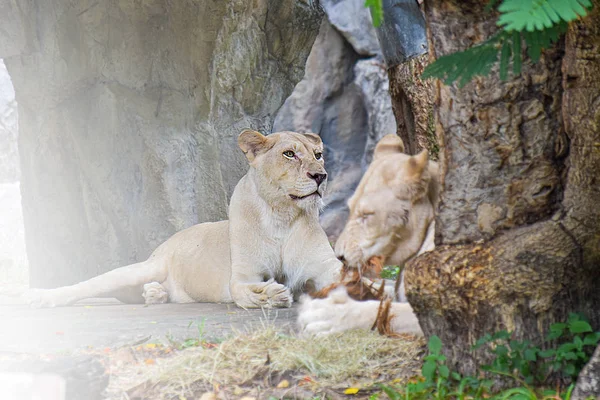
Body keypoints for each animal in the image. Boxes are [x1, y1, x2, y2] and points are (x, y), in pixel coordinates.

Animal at [24, 130, 342, 308]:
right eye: (289, 154)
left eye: (318, 155)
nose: (321, 176)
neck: (280, 216)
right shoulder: (243, 275)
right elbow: (244, 292)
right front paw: (273, 295)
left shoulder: (324, 266)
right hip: (138, 269)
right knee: (87, 286)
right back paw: (40, 297)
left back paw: (154, 294)